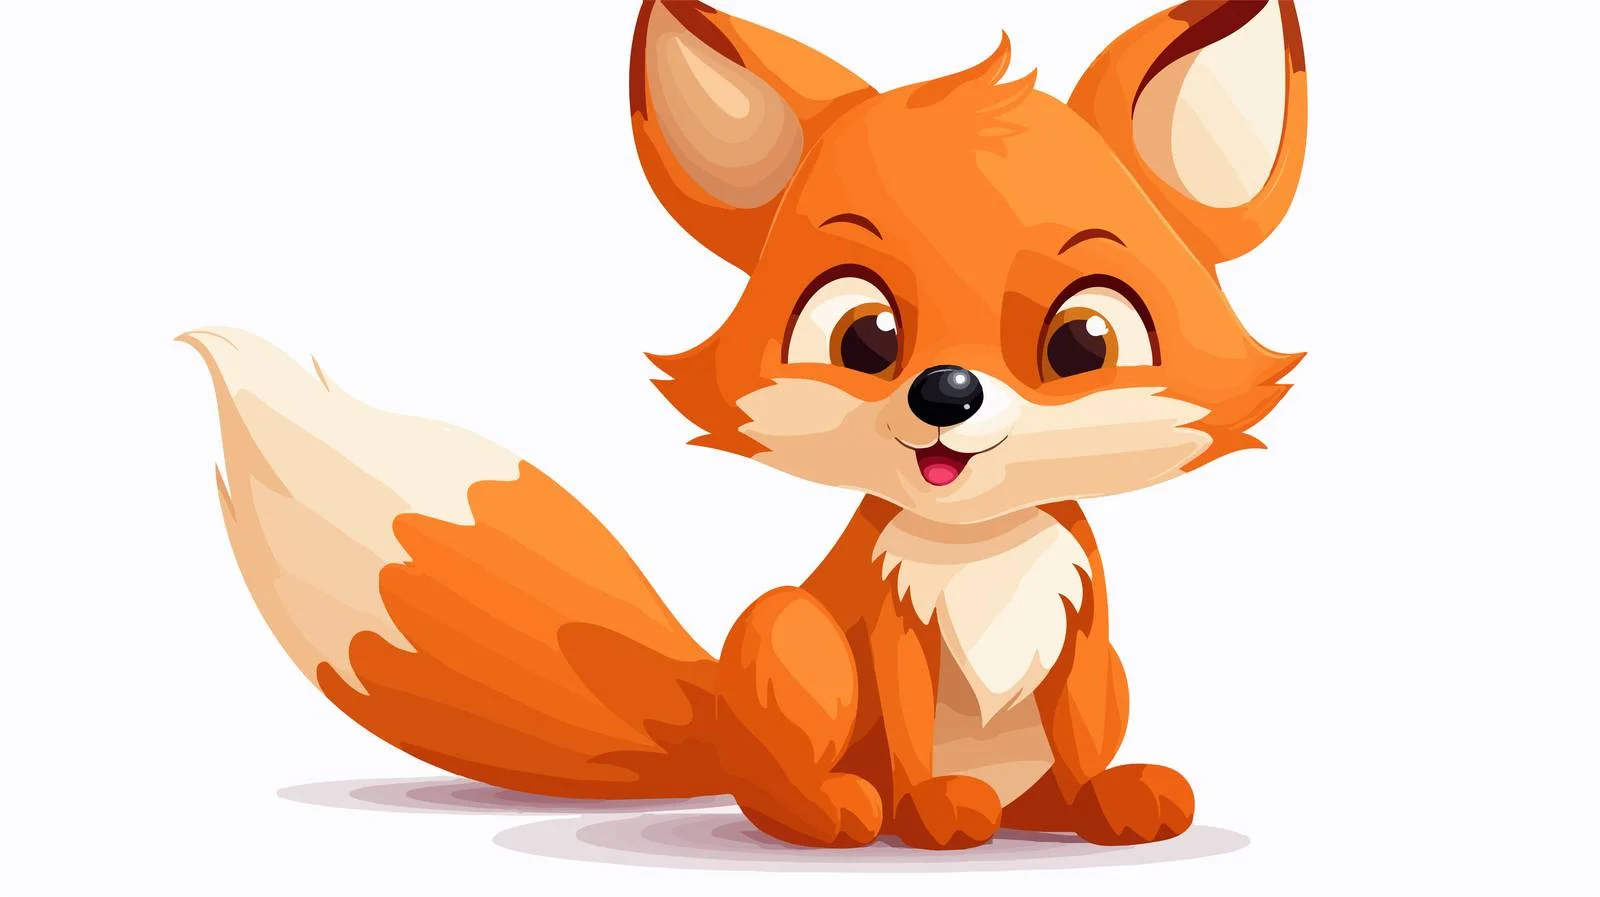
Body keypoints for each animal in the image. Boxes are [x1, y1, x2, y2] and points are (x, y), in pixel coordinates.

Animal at [182, 1, 1306, 850]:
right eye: (864, 335)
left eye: (1083, 340)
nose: (945, 394)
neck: (976, 550)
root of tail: (720, 716)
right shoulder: (888, 627)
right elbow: (910, 730)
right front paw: (931, 808)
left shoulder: (1083, 632)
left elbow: (1075, 733)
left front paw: (1099, 801)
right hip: (786, 632)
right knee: (785, 782)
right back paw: (851, 810)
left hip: (1103, 679)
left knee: (1046, 781)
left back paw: (1065, 804)